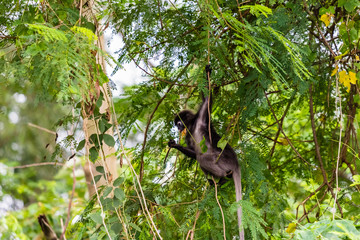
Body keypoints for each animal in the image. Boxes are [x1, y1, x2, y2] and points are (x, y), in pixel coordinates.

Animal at [169, 74, 245, 238]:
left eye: (178, 123)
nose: (177, 128)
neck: (192, 126)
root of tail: (235, 162)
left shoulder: (201, 119)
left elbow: (208, 101)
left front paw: (208, 73)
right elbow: (193, 152)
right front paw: (175, 145)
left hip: (222, 160)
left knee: (202, 158)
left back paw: (222, 178)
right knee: (199, 157)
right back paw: (214, 181)